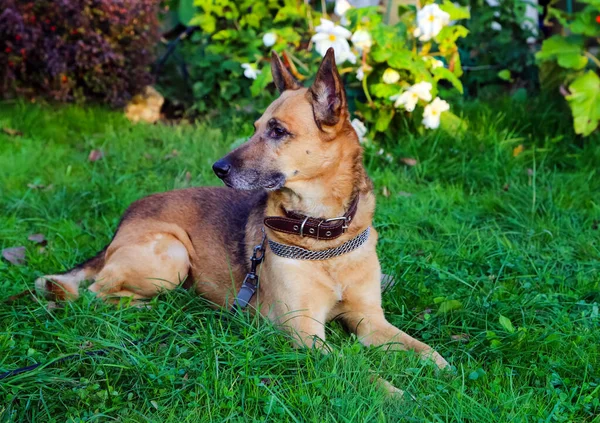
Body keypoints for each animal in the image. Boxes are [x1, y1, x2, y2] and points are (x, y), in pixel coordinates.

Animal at [35, 48, 448, 390]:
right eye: (254, 128)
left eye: (277, 130)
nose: (218, 168)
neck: (323, 234)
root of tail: (127, 215)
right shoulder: (305, 333)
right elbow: (355, 368)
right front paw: (393, 393)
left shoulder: (370, 321)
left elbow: (426, 350)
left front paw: (448, 378)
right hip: (170, 256)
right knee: (95, 293)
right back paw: (149, 307)